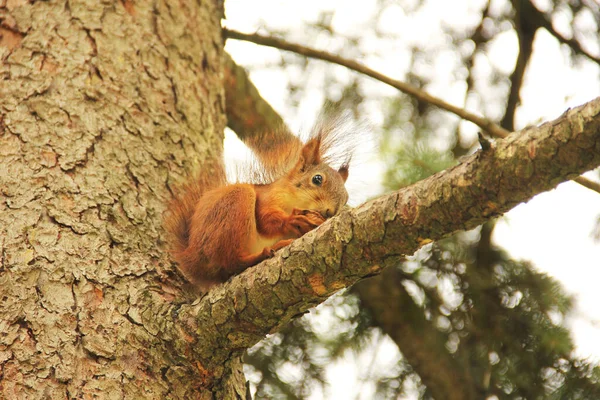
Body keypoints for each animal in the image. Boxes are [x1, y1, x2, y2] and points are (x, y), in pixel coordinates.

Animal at [162, 119, 354, 290]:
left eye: (346, 198)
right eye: (317, 179)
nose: (331, 212)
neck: (293, 199)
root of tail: (192, 258)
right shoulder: (267, 197)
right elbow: (265, 218)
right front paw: (292, 220)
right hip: (236, 204)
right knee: (232, 262)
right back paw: (262, 254)